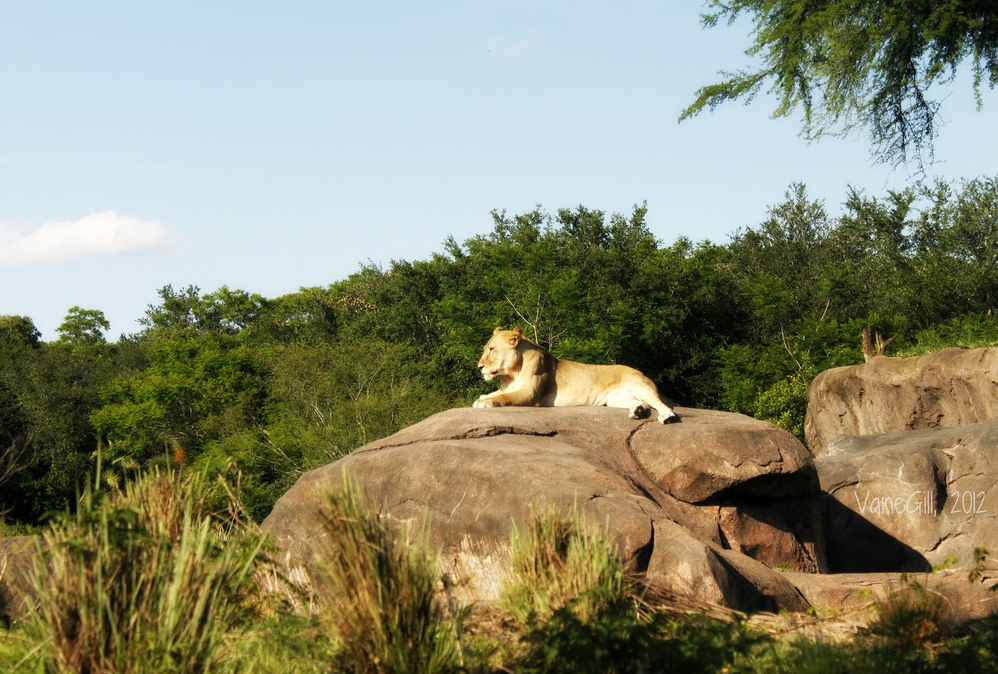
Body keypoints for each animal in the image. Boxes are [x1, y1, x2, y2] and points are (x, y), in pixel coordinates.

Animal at [470, 324, 676, 422]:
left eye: (491, 349)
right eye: (485, 348)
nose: (479, 367)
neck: (511, 373)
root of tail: (639, 371)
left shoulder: (531, 394)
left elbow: (504, 397)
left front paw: (485, 403)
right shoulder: (511, 388)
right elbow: (493, 393)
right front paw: (481, 399)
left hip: (639, 385)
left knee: (659, 403)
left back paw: (667, 417)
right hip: (616, 398)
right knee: (642, 403)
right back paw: (637, 411)